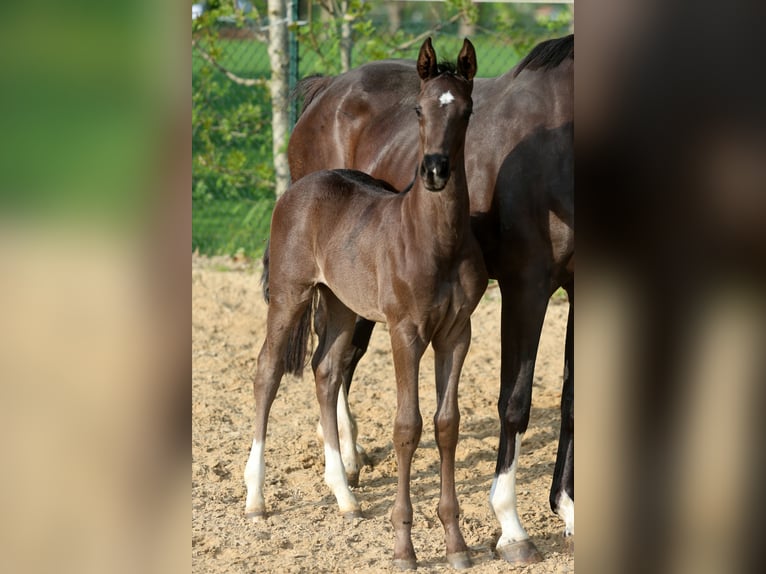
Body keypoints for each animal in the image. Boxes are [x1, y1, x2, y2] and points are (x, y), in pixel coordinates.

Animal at [244, 38, 488, 570]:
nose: (435, 171)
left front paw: (457, 544)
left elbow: (446, 425)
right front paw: (404, 549)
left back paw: (345, 495)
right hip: (291, 294)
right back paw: (255, 497)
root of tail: (298, 186)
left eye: (466, 110)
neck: (435, 240)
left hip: (341, 306)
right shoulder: (405, 331)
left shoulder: (456, 333)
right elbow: (406, 427)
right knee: (268, 371)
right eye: (418, 108)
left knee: (325, 370)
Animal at [286, 35, 574, 564]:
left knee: (342, 357)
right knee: (331, 357)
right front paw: (511, 527)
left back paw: (350, 458)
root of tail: (327, 88)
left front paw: (566, 507)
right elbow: (515, 402)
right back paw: (341, 468)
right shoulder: (526, 286)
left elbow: (569, 399)